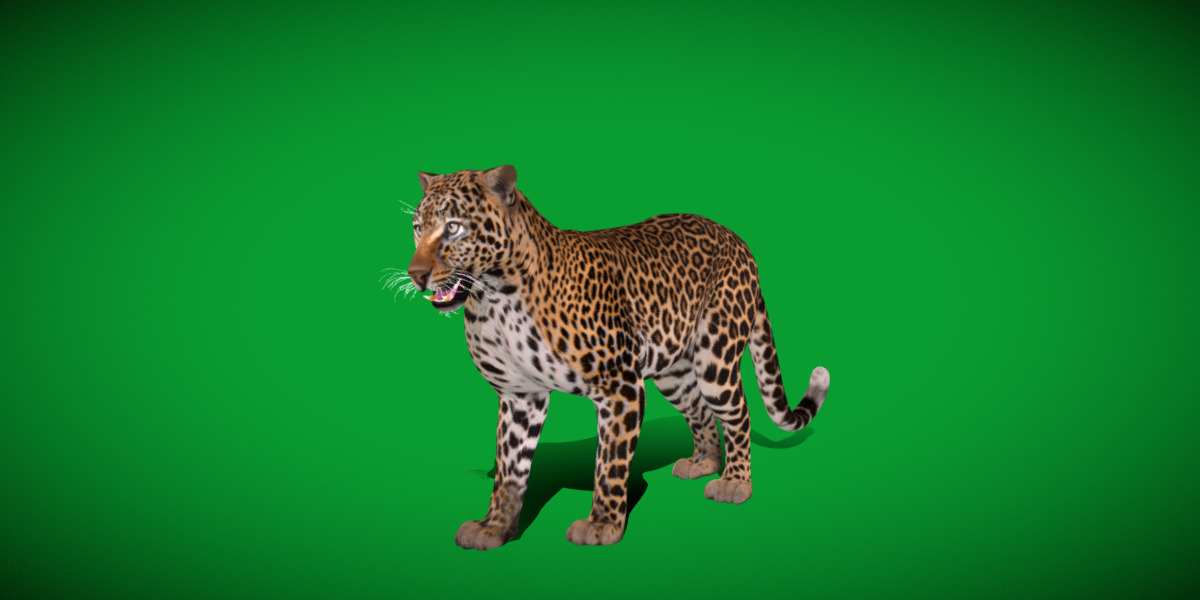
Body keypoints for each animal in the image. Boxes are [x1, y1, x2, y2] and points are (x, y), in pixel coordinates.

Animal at [394, 165, 830, 549]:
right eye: (417, 227)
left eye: (453, 227)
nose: (416, 275)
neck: (496, 298)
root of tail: (737, 239)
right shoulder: (520, 396)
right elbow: (510, 468)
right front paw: (494, 527)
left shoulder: (620, 387)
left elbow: (610, 463)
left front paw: (602, 525)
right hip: (673, 370)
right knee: (701, 412)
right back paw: (703, 462)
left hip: (715, 357)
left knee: (738, 412)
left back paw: (735, 482)